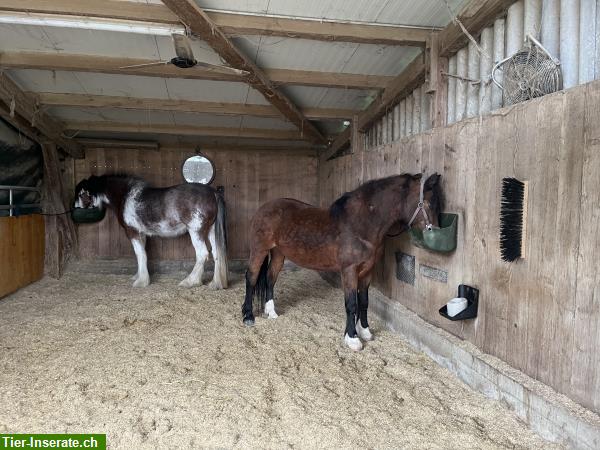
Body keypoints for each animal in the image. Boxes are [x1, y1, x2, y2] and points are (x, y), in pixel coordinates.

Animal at [73, 174, 227, 290]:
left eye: (81, 194)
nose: (76, 209)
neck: (125, 196)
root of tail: (213, 193)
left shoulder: (132, 232)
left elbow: (140, 254)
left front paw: (141, 282)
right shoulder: (141, 233)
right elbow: (143, 254)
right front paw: (139, 276)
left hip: (196, 231)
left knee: (202, 254)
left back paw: (190, 281)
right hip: (211, 230)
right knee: (216, 253)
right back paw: (215, 284)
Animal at [241, 172, 442, 352]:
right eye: (428, 203)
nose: (434, 233)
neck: (360, 226)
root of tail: (264, 208)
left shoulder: (367, 271)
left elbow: (364, 301)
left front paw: (365, 331)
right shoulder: (349, 271)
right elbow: (351, 304)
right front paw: (352, 339)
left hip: (278, 254)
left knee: (270, 279)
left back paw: (271, 312)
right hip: (259, 251)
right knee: (251, 277)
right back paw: (248, 316)